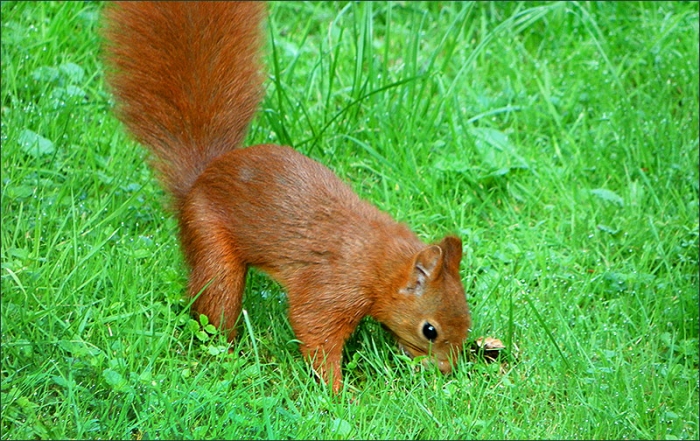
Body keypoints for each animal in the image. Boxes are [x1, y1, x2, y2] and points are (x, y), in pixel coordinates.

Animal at [102, 1, 471, 392]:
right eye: (429, 330)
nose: (446, 370)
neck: (378, 261)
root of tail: (201, 178)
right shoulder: (330, 287)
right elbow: (314, 329)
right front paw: (340, 392)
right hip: (211, 242)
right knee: (215, 303)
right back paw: (229, 356)